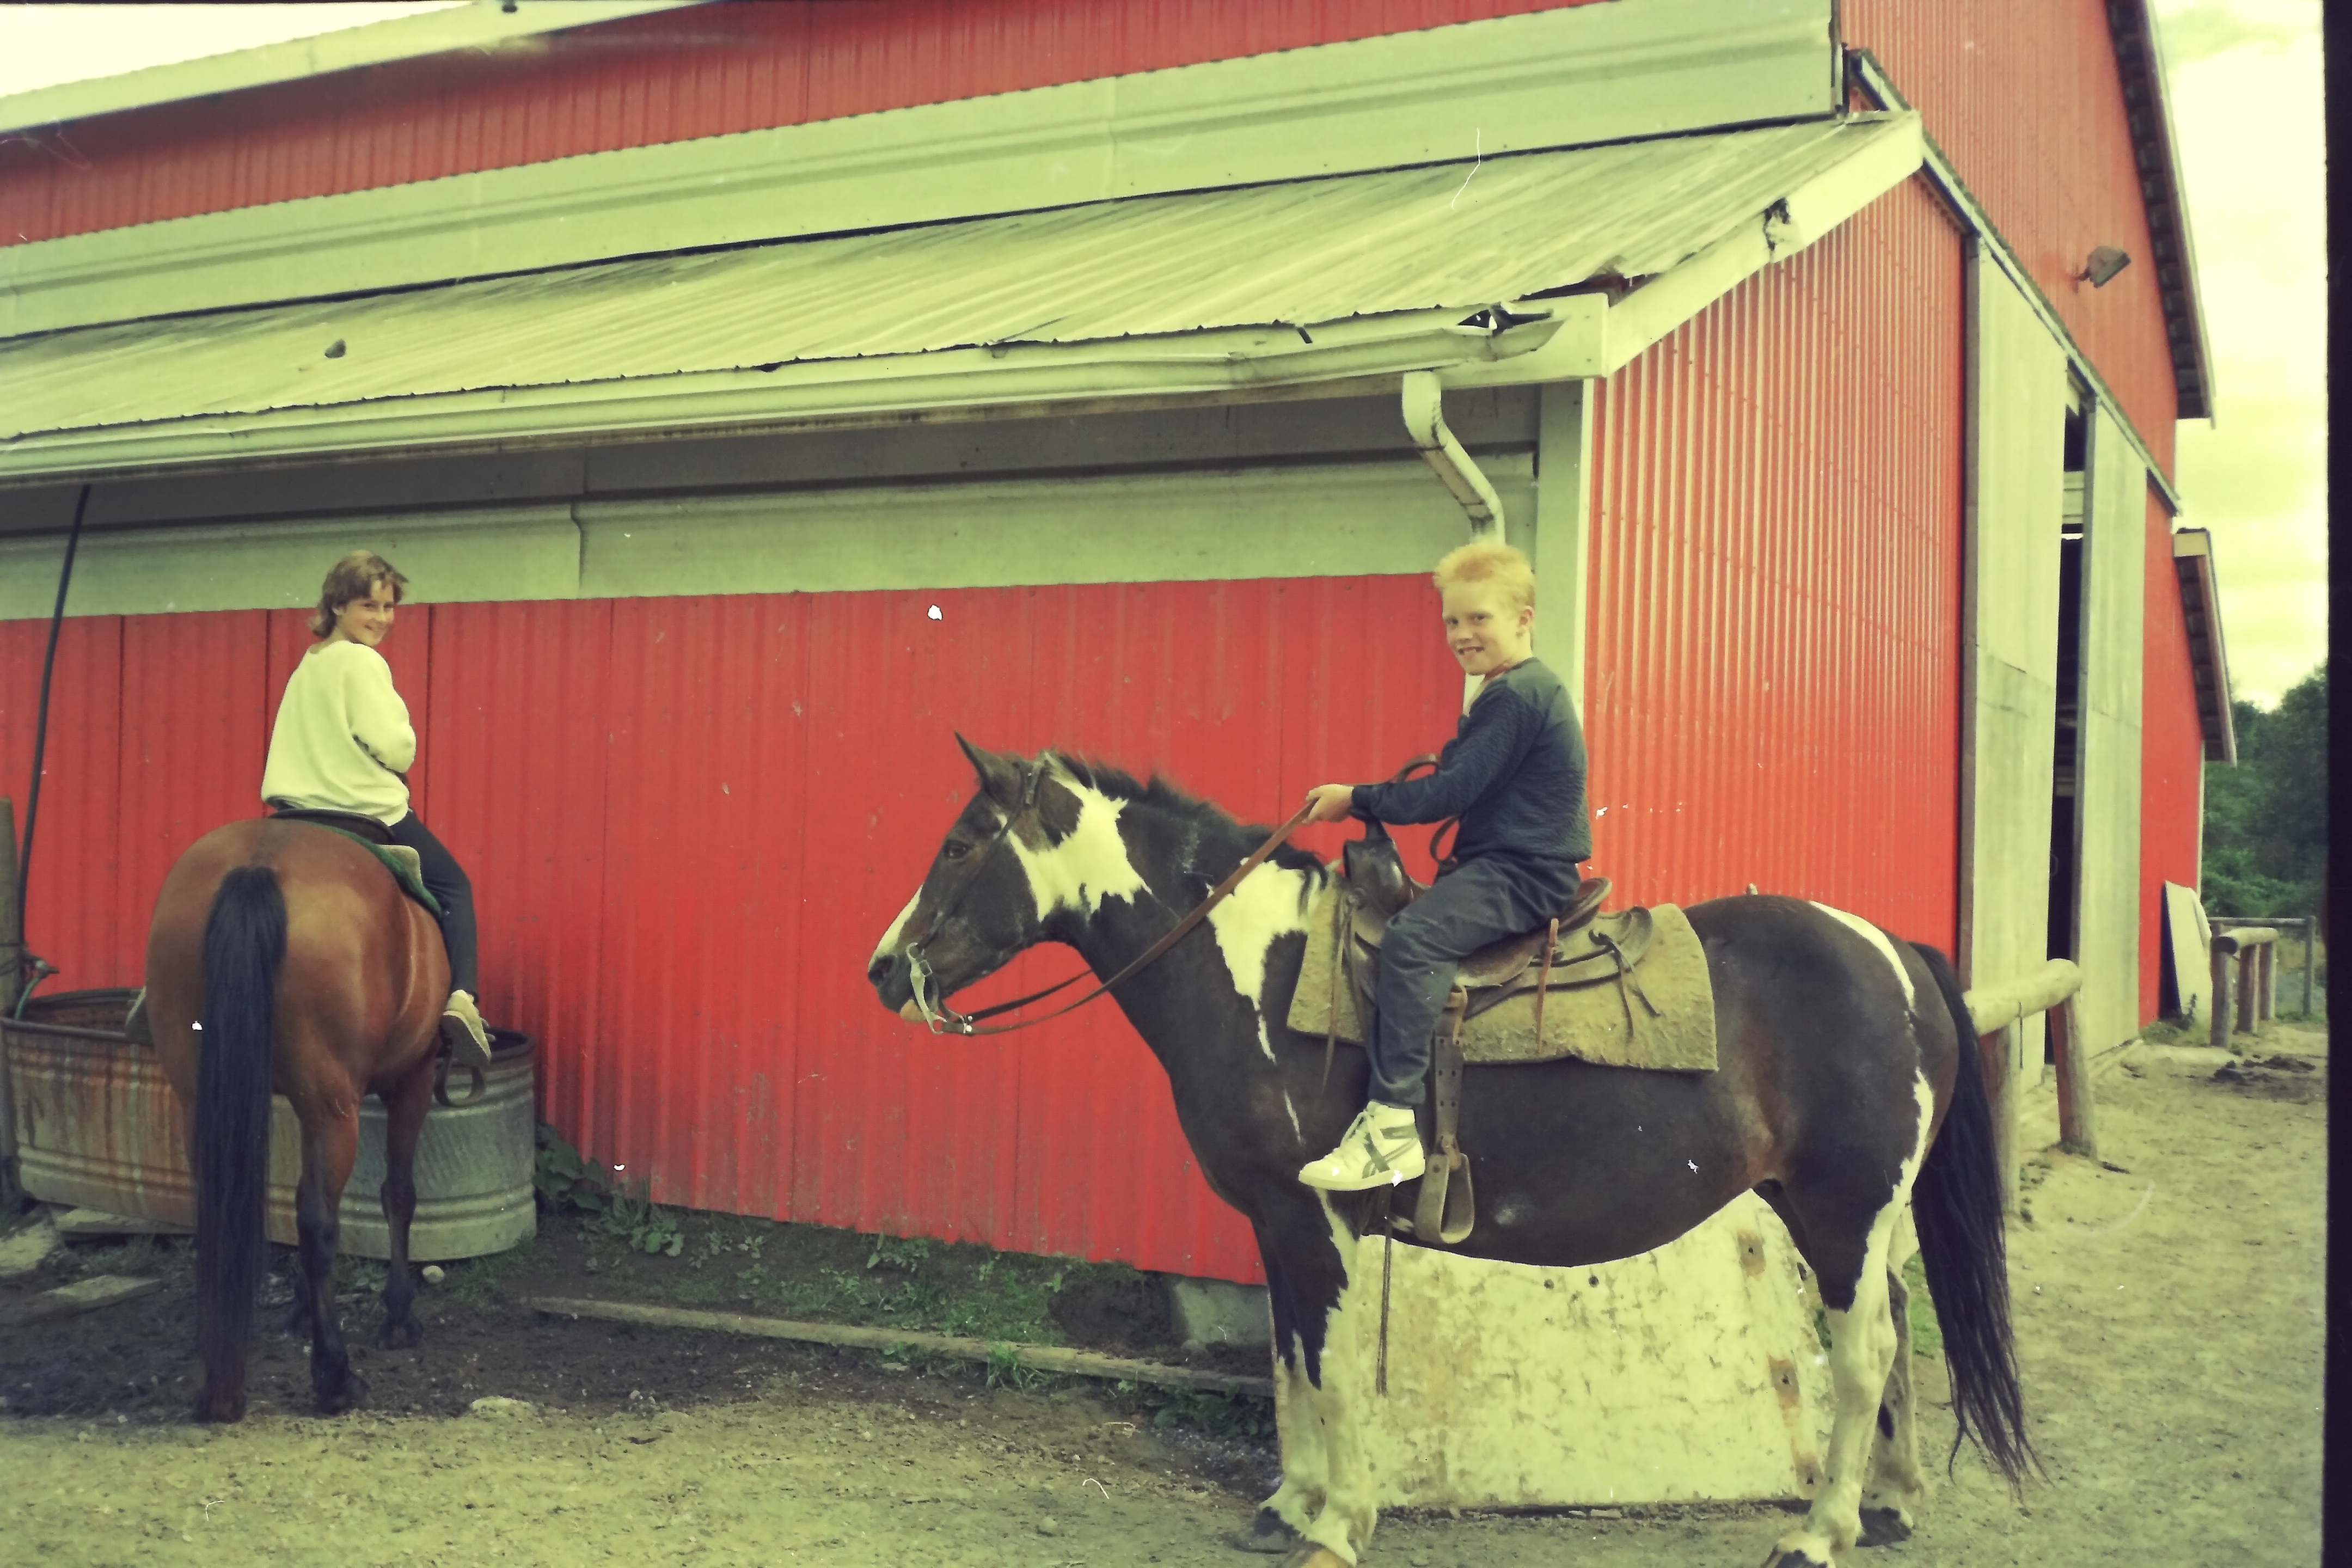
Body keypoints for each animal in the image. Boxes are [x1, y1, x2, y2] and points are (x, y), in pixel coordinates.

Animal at [144, 818, 450, 1422]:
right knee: (318, 1223)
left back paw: (219, 1381)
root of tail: (259, 864)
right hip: (333, 1105)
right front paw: (398, 1315)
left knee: (224, 1206)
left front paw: (301, 1311)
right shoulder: (413, 1080)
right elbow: (397, 1195)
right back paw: (335, 1378)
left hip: (203, 1093)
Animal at [866, 738, 2034, 1568]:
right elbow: (1292, 1360)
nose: (883, 970)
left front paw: (1338, 1525)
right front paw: (1288, 1504)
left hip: (1846, 1209)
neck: (1260, 973)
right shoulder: (1276, 1224)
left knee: (1864, 1353)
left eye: (964, 843)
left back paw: (1818, 1534)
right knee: (1895, 1341)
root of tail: (1897, 953)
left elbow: (1333, 1371)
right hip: (1838, 1213)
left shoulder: (1319, 1219)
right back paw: (1887, 1506)